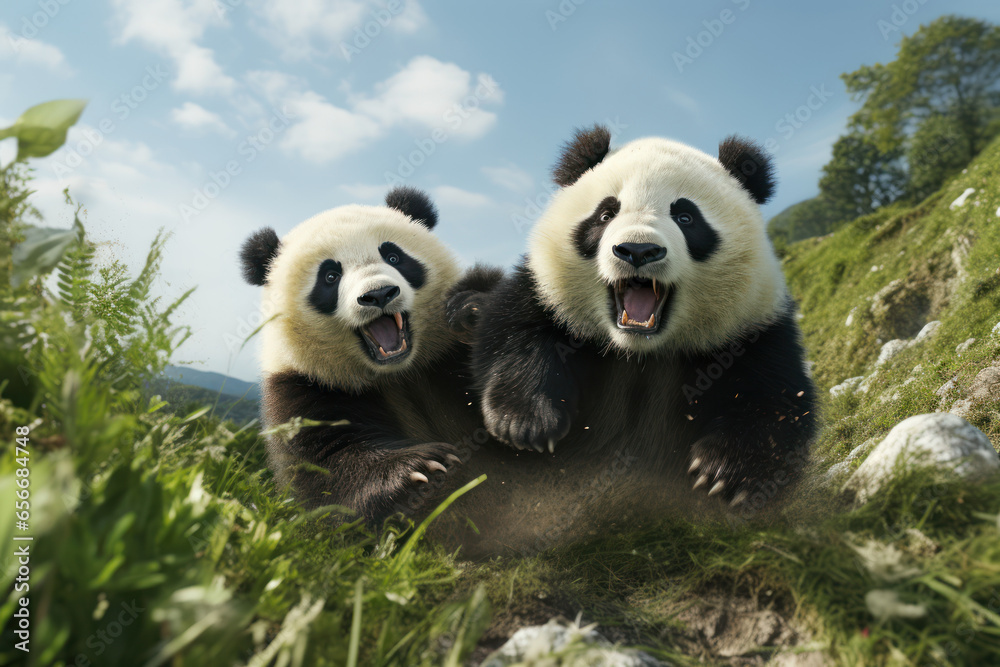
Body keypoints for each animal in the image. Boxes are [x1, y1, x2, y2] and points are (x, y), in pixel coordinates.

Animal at [239, 186, 502, 524]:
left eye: (394, 256)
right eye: (330, 276)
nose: (378, 294)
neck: (399, 372)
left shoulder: (446, 354)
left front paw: (475, 313)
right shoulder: (304, 385)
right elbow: (326, 469)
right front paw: (416, 469)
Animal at [469, 125, 818, 517]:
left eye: (686, 217)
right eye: (606, 214)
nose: (637, 250)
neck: (638, 352)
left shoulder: (753, 328)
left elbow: (775, 399)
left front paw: (725, 471)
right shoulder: (543, 293)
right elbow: (513, 334)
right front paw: (525, 423)